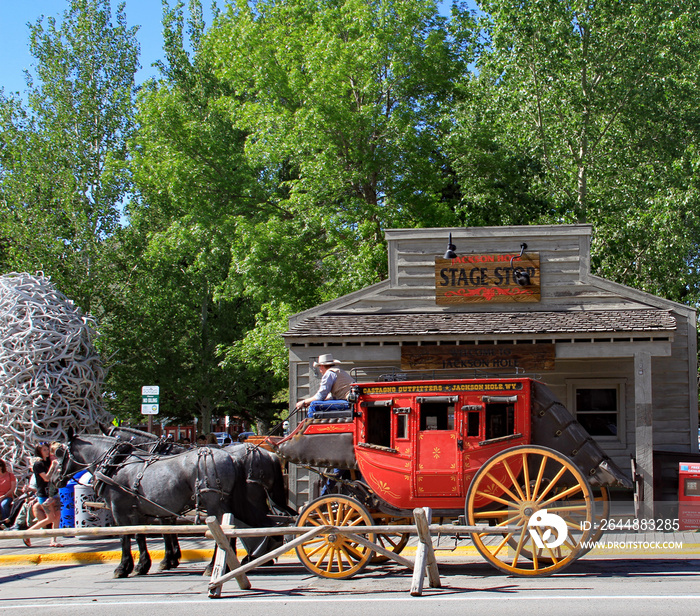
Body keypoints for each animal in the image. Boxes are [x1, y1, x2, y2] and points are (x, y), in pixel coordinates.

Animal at [55, 430, 270, 580]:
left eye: (59, 453)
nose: (56, 480)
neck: (116, 464)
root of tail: (234, 457)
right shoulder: (147, 508)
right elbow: (142, 534)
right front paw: (149, 564)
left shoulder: (121, 508)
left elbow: (127, 536)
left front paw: (124, 567)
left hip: (215, 502)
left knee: (223, 532)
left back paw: (215, 566)